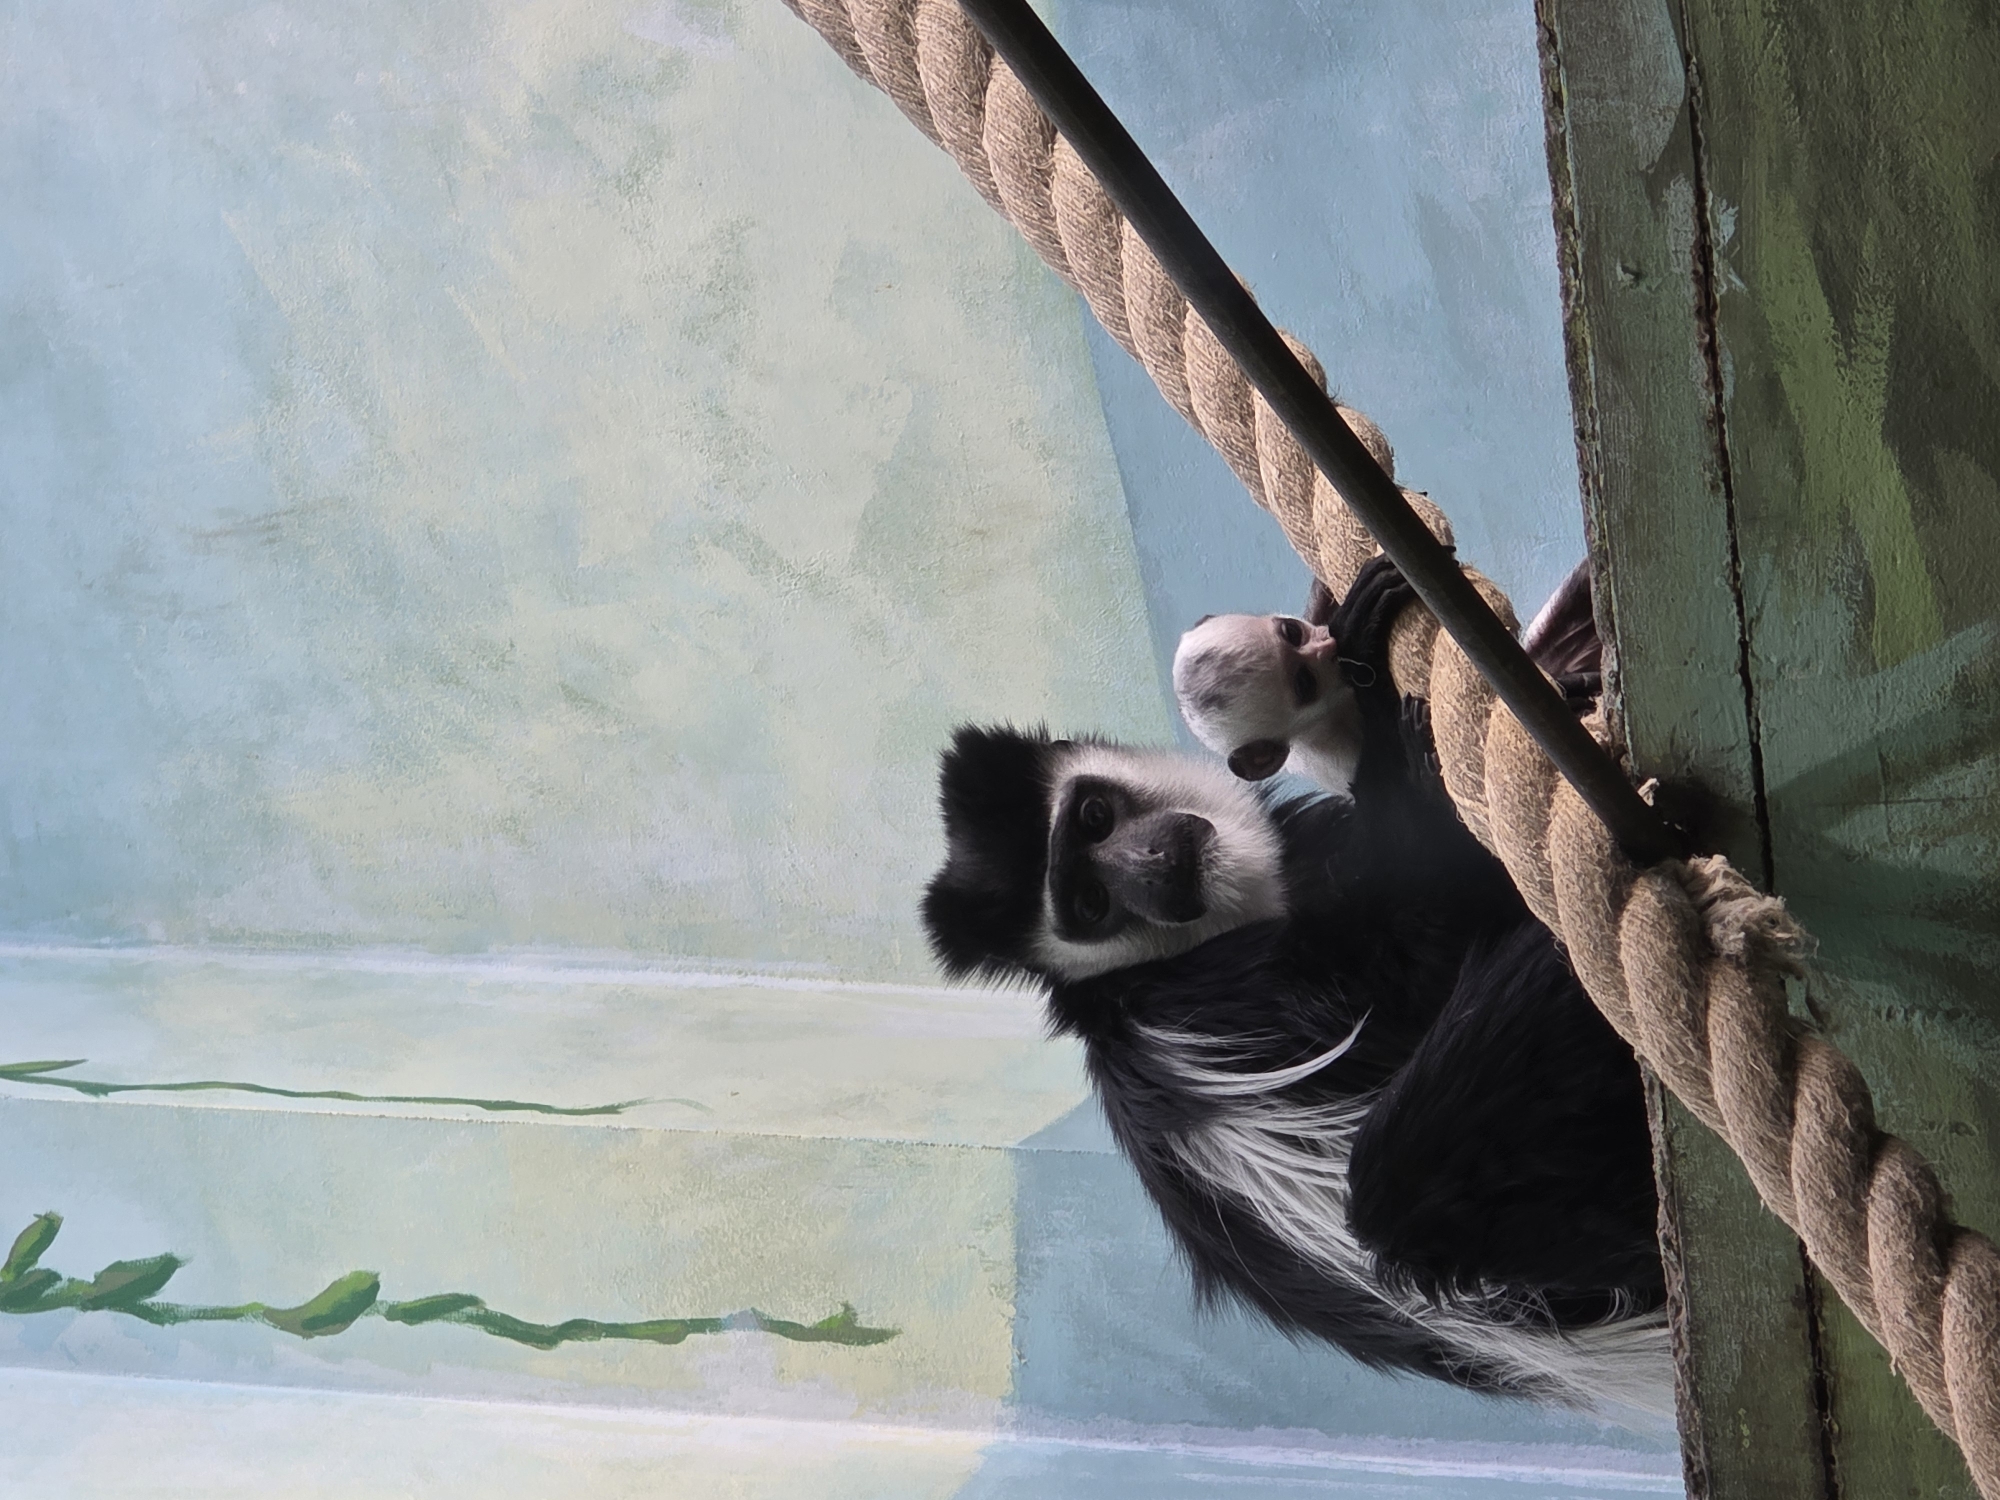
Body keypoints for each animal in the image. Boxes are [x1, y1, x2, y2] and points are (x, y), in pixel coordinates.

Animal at [921, 557, 1666, 1413]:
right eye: (1089, 904)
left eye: (1096, 818)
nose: (1152, 865)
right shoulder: (1201, 1008)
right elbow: (1409, 955)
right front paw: (1373, 686)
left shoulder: (1298, 850)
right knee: (1398, 1180)